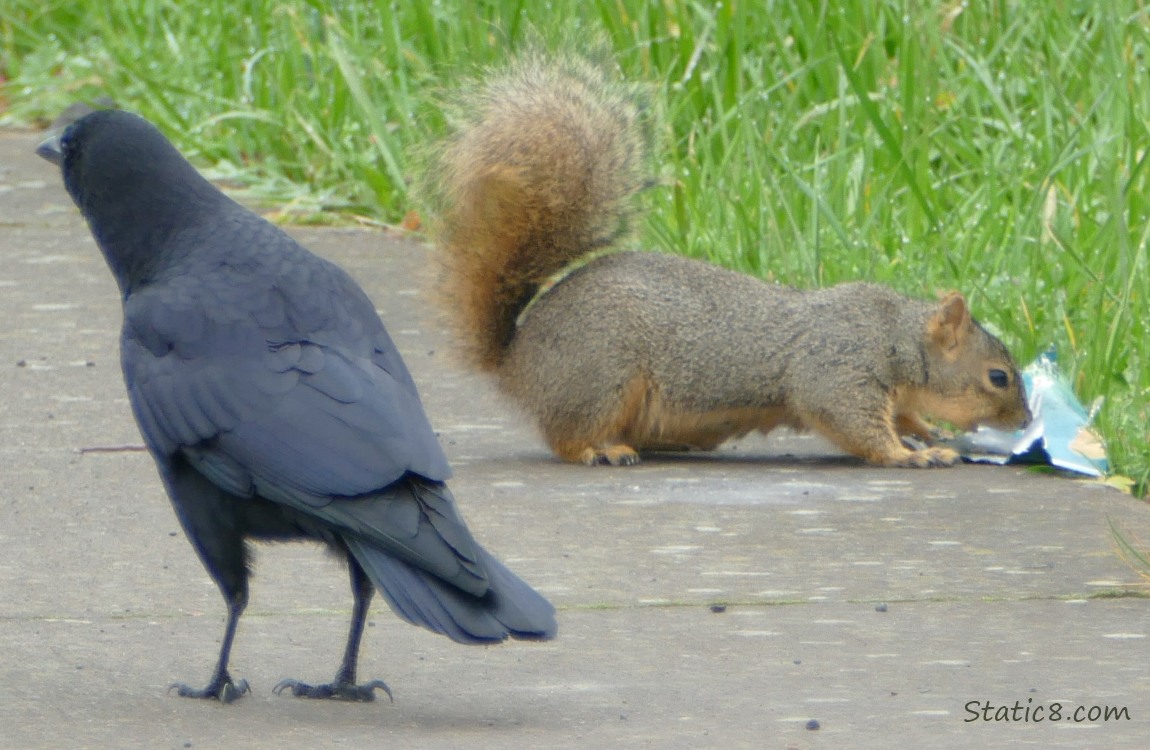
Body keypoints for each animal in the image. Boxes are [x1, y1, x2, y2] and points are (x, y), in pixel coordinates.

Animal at [423, 52, 1035, 464]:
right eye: (999, 377)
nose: (1026, 419)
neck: (895, 335)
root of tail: (516, 360)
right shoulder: (837, 368)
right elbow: (854, 423)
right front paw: (911, 454)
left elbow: (904, 414)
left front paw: (929, 434)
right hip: (600, 377)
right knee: (566, 435)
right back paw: (599, 450)